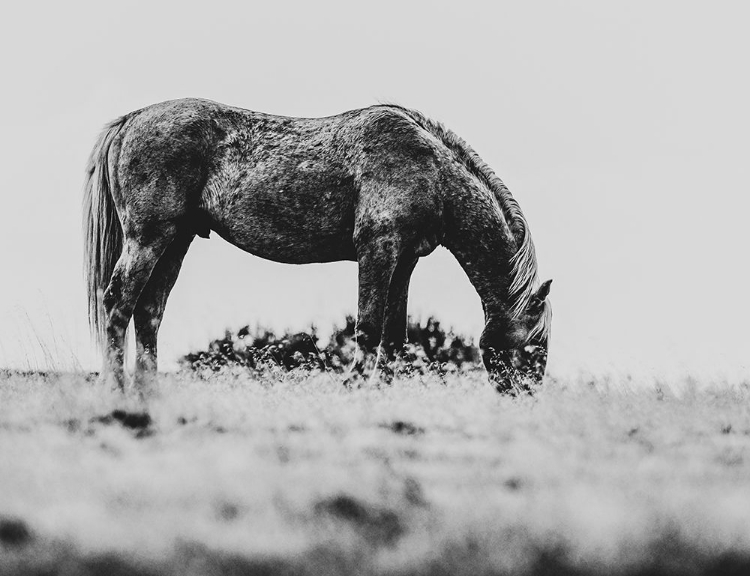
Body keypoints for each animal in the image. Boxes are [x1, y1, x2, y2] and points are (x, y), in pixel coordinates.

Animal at [83, 100, 552, 396]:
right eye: (535, 345)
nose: (526, 398)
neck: (429, 170)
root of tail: (131, 120)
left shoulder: (404, 260)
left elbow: (394, 336)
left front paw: (382, 390)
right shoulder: (377, 249)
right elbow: (368, 327)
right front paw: (354, 385)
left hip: (175, 241)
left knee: (148, 312)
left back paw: (149, 392)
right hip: (148, 238)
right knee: (118, 302)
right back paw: (116, 388)